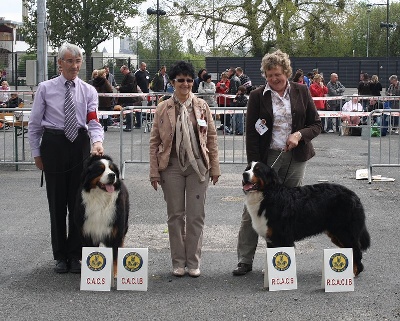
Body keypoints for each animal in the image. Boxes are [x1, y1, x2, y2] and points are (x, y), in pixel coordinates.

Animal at [242, 161, 370, 276]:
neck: (267, 195)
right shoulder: (271, 237)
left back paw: (354, 273)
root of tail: (353, 195)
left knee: (356, 251)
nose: (244, 174)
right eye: (248, 168)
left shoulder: (283, 237)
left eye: (258, 170)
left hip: (344, 232)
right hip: (337, 233)